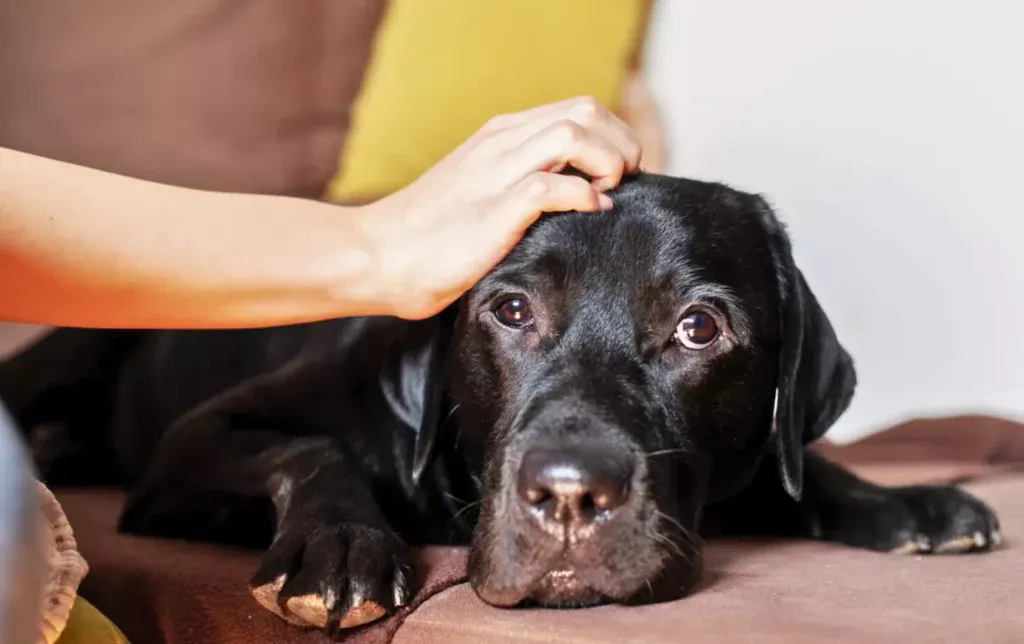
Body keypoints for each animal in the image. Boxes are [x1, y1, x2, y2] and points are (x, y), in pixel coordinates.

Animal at [0, 173, 995, 630]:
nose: (570, 497)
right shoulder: (196, 441)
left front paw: (906, 501)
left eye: (699, 328)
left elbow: (796, 467)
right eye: (511, 310)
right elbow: (310, 449)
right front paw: (342, 547)